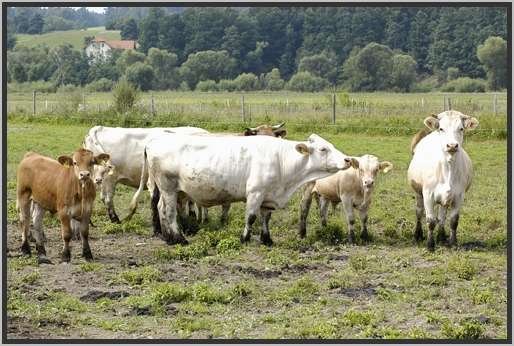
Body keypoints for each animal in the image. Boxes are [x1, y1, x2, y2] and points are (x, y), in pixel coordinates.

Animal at [128, 133, 352, 246]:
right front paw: (244, 238)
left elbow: (265, 218)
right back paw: (179, 239)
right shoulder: (255, 193)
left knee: (159, 208)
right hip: (168, 187)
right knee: (169, 212)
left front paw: (267, 239)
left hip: (168, 189)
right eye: (323, 149)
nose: (348, 159)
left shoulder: (268, 196)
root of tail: (154, 140)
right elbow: (251, 217)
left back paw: (168, 237)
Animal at [406, 110, 478, 249]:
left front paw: (453, 243)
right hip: (418, 192)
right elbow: (430, 221)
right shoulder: (428, 195)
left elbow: (453, 220)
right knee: (419, 212)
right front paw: (430, 245)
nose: (452, 145)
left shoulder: (459, 196)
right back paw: (418, 235)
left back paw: (441, 237)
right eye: (441, 128)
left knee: (442, 216)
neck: (448, 168)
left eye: (461, 128)